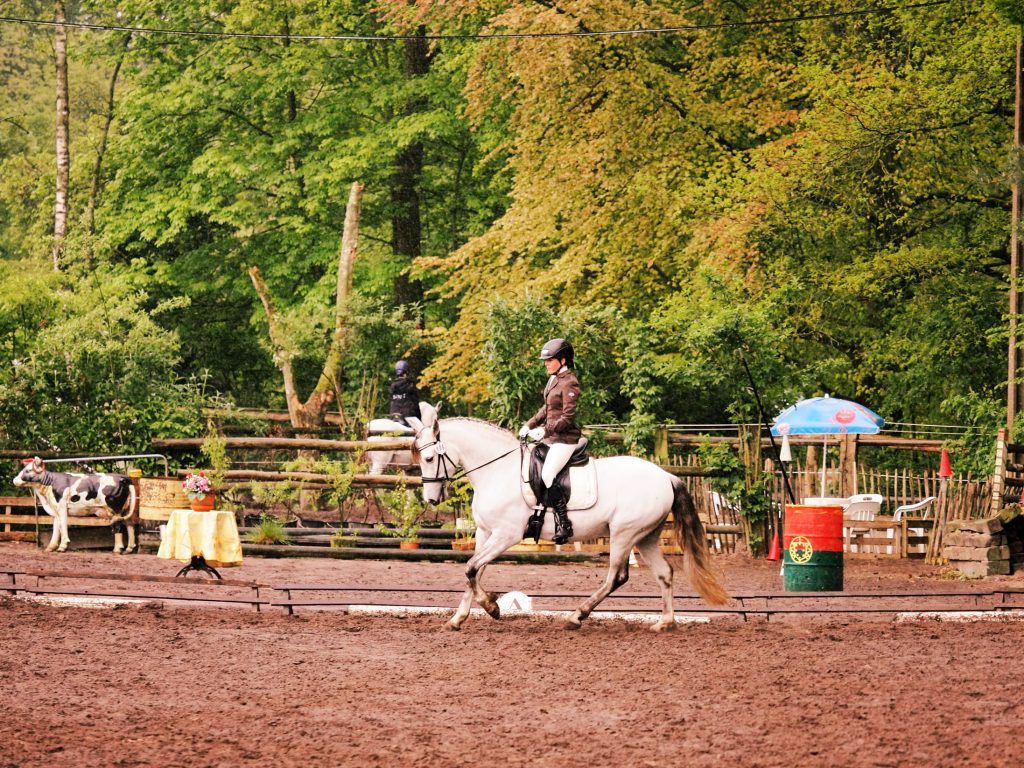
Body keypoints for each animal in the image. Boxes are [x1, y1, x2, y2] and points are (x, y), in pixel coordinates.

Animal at [403, 403, 733, 630]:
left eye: (429, 457)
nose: (431, 499)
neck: (497, 471)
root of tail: (666, 476)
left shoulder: (507, 535)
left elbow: (472, 569)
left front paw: (492, 607)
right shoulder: (486, 533)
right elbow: (473, 572)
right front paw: (459, 618)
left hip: (624, 534)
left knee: (616, 576)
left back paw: (576, 616)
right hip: (646, 536)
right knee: (664, 573)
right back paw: (665, 622)